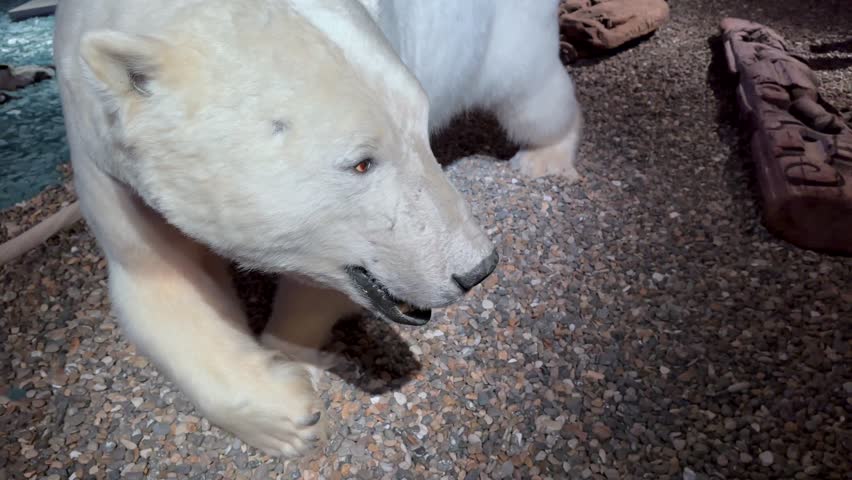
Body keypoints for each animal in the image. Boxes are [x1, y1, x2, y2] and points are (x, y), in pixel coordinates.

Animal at [53, 0, 581, 456]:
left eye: (421, 129)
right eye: (361, 163)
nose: (477, 269)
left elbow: (324, 284)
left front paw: (292, 362)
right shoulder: (103, 155)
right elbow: (158, 280)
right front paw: (287, 417)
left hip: (505, 34)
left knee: (531, 95)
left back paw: (545, 156)